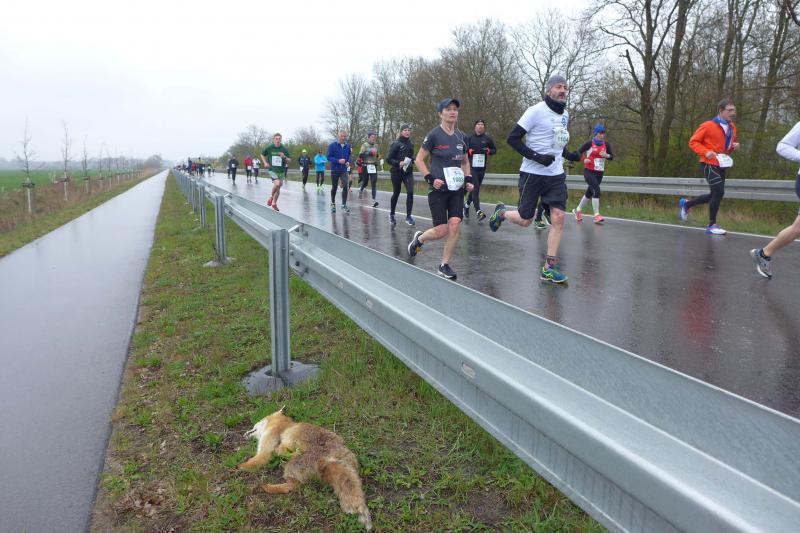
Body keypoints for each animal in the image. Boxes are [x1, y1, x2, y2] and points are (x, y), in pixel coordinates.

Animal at [239, 407, 372, 530]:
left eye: (258, 422)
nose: (244, 433)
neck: (282, 423)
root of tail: (325, 458)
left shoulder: (267, 447)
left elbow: (256, 461)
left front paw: (238, 468)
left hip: (290, 465)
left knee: (290, 484)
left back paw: (266, 486)